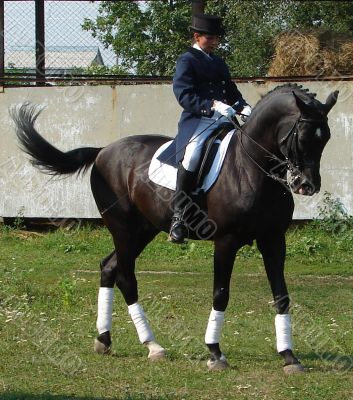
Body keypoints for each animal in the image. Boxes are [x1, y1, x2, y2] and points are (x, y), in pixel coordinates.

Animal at [11, 83, 338, 374]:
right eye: (303, 136)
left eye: (326, 138)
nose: (307, 185)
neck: (251, 168)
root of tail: (104, 151)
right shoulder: (226, 241)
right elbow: (221, 293)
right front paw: (215, 353)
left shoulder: (273, 240)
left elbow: (281, 296)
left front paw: (289, 357)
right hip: (123, 229)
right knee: (126, 277)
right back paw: (152, 346)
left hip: (142, 231)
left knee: (109, 268)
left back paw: (105, 339)